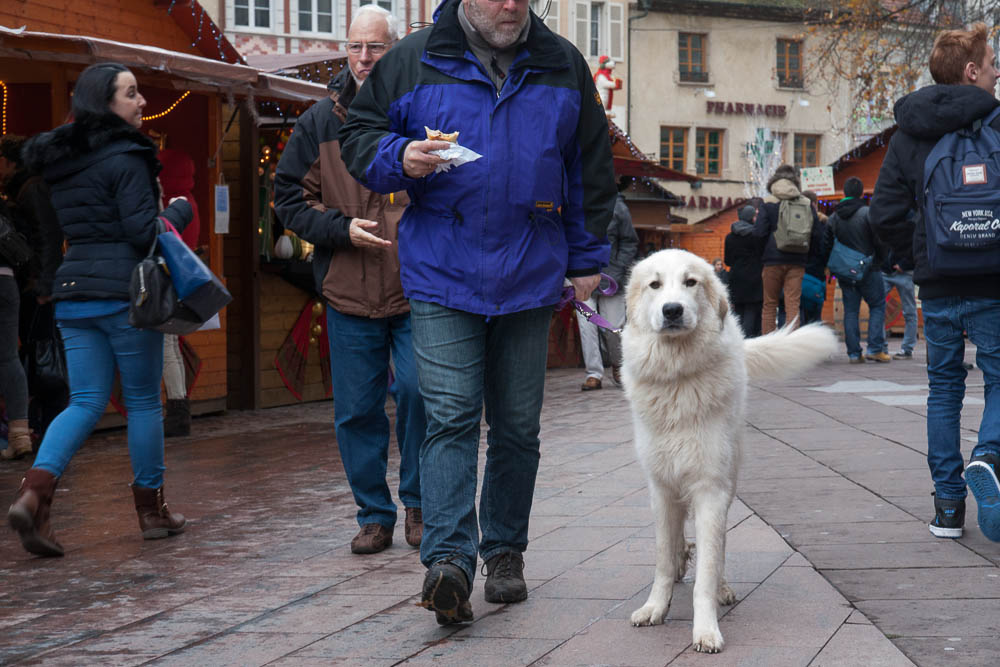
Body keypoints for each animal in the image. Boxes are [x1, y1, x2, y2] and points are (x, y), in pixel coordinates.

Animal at [624, 249, 836, 652]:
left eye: (690, 282)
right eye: (655, 285)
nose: (672, 310)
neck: (678, 377)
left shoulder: (711, 488)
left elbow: (707, 569)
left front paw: (706, 630)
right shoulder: (661, 488)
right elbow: (662, 557)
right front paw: (655, 607)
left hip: (730, 477)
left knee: (718, 547)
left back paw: (720, 587)